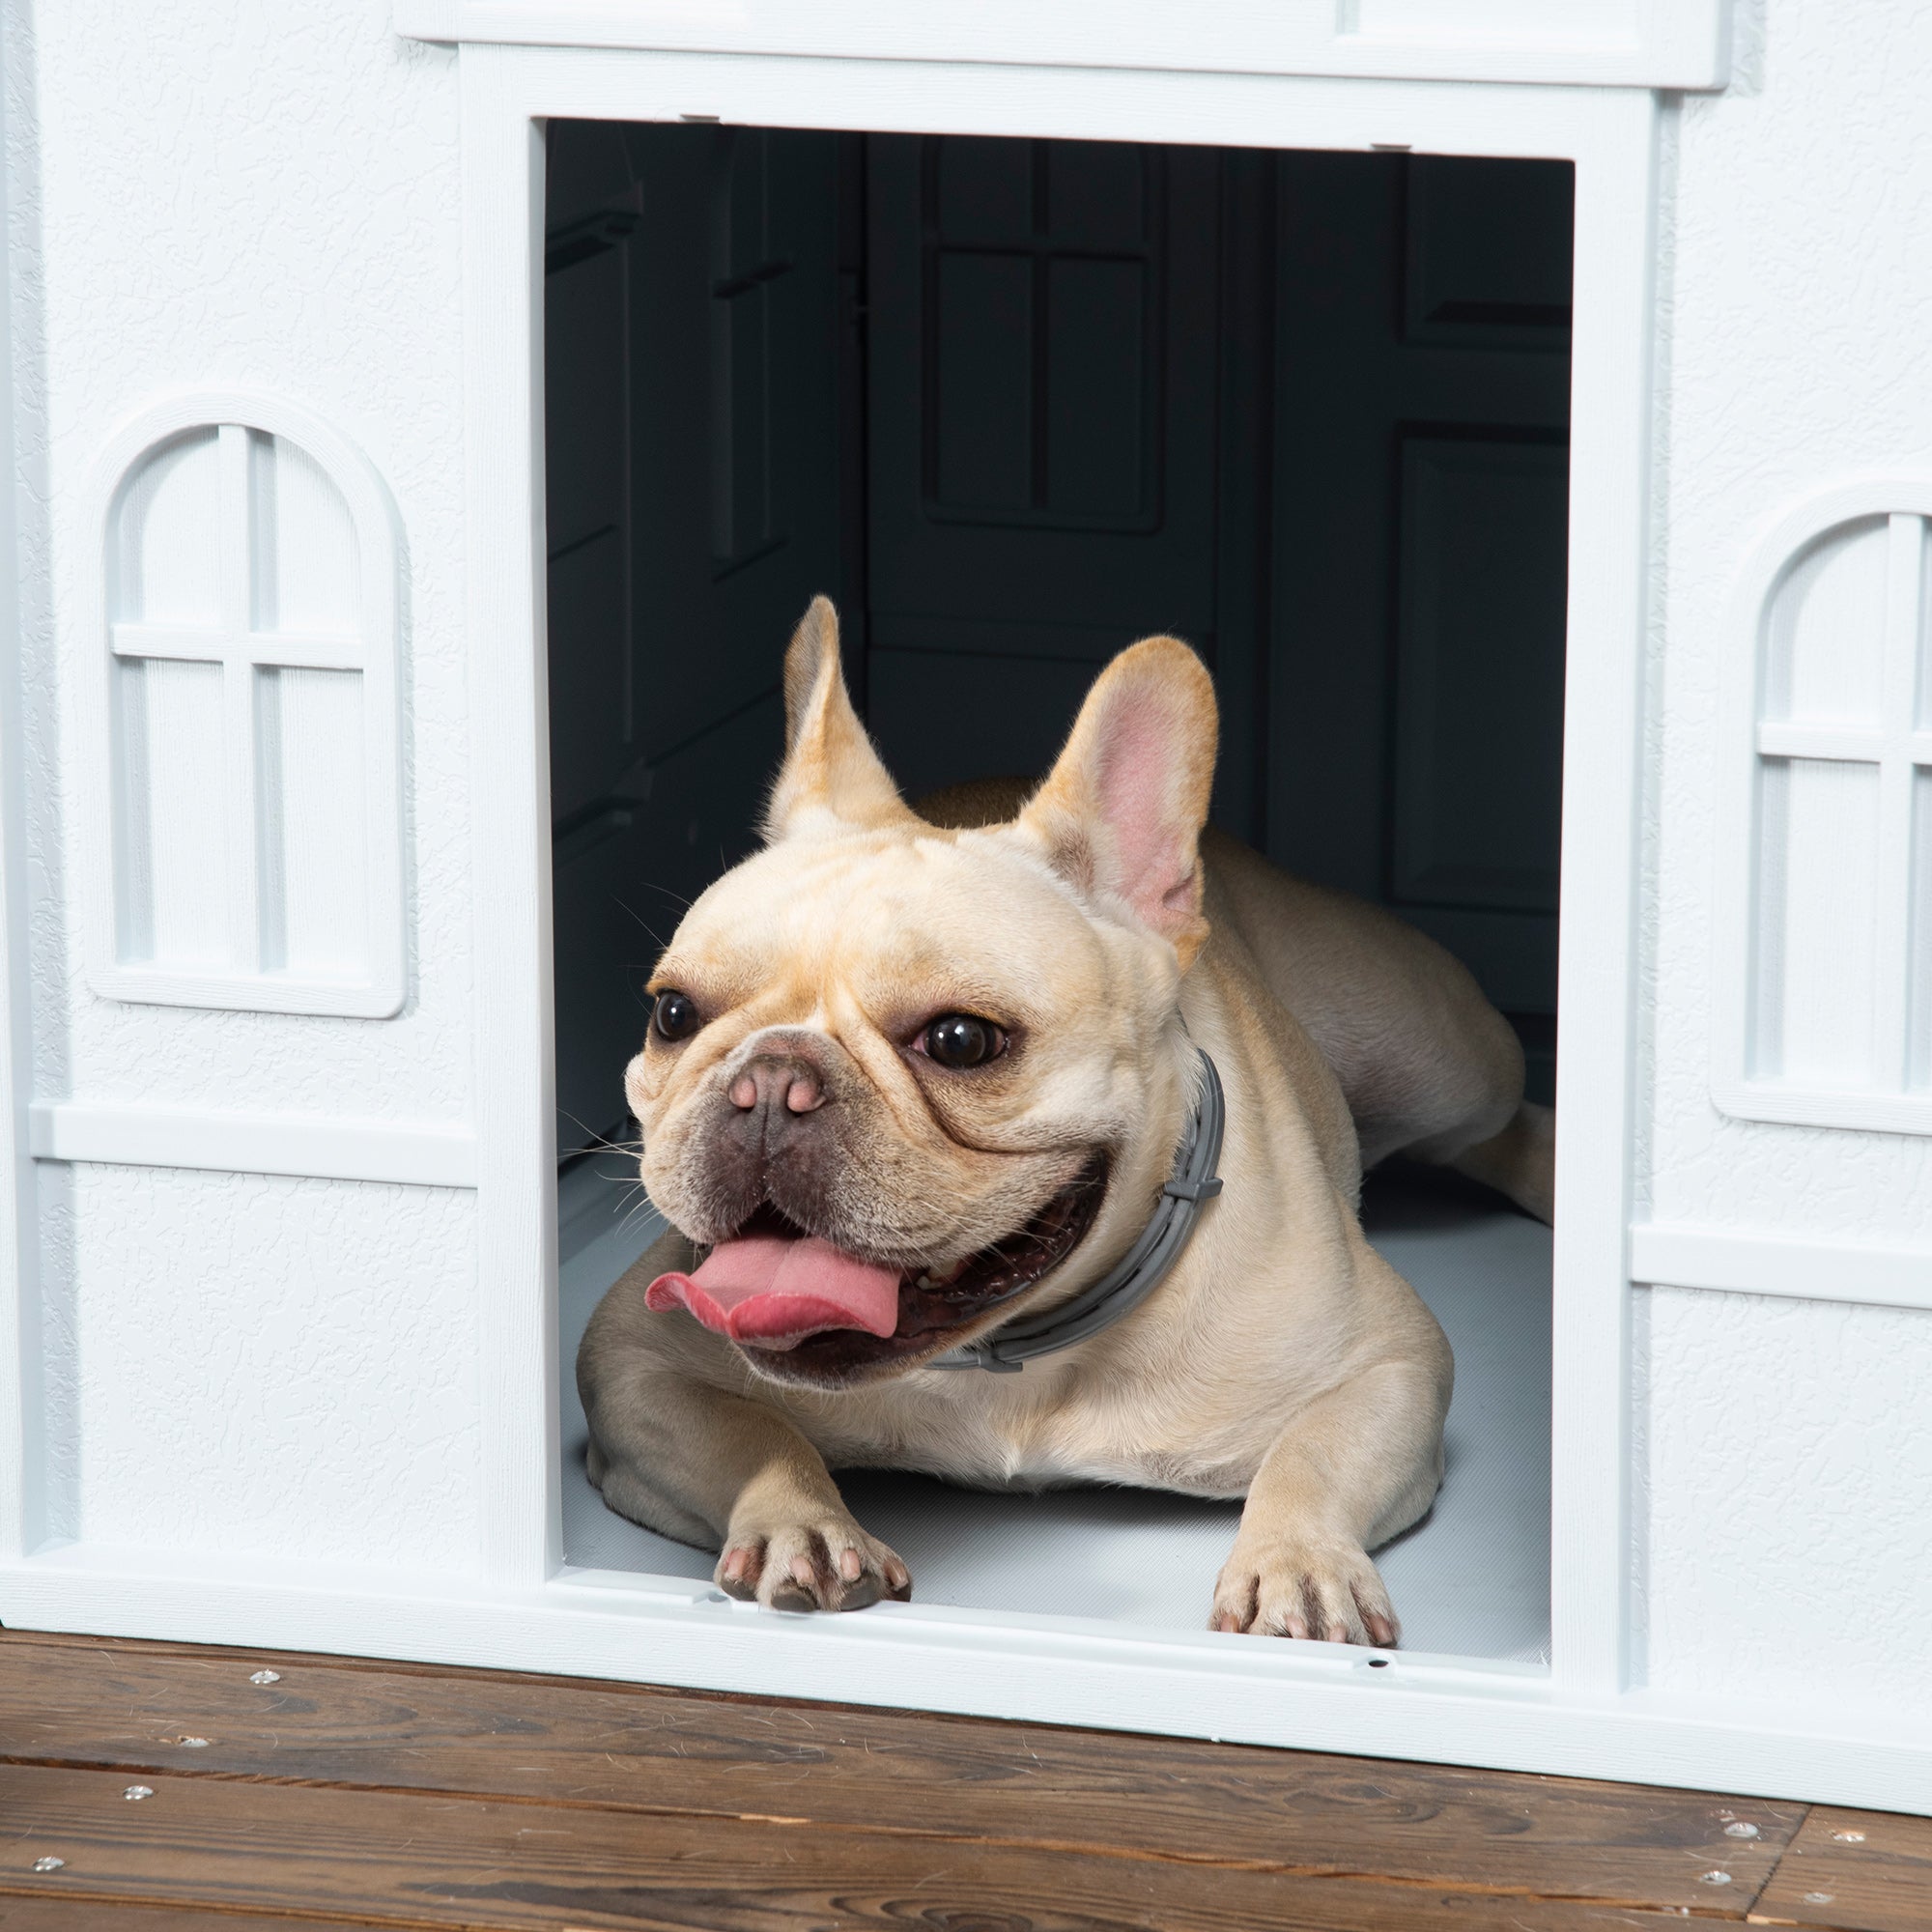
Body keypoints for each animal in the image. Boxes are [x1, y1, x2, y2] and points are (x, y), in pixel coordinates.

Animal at [576, 599, 1553, 1646]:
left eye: (961, 1040)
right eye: (672, 1014)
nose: (770, 1083)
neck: (1011, 1357)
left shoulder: (1388, 1360)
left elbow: (1312, 1456)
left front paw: (1299, 1561)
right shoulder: (630, 1365)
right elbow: (753, 1431)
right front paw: (798, 1522)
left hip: (1441, 1066)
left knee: (1490, 1122)